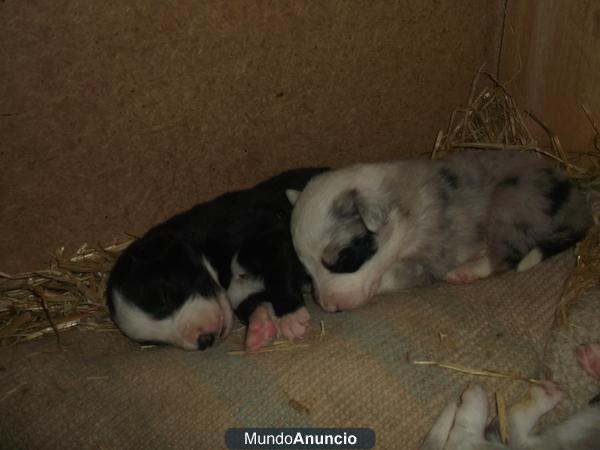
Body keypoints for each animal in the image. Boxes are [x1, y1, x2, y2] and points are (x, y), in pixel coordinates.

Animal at [106, 167, 328, 350]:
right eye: (156, 342)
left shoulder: (273, 237)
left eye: (165, 297)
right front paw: (259, 328)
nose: (204, 341)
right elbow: (250, 302)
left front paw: (291, 317)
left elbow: (278, 275)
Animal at [288, 151, 592, 312]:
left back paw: (466, 271)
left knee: (506, 256)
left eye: (345, 259)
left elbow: (391, 276)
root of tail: (577, 200)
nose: (327, 307)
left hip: (510, 203)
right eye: (306, 271)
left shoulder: (429, 256)